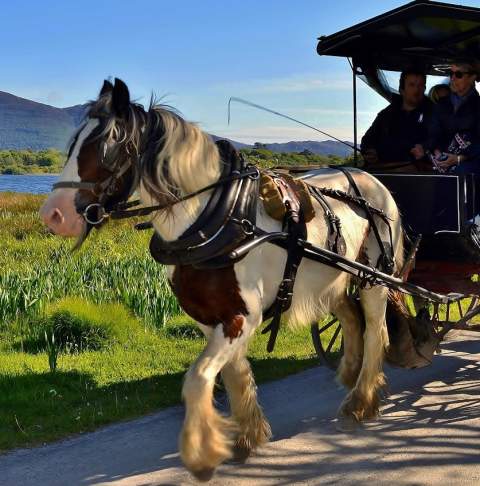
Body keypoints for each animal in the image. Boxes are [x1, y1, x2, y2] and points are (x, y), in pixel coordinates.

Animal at [39, 78, 404, 480]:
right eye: (73, 144)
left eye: (106, 148)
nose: (53, 215)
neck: (214, 218)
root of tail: (373, 180)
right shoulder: (209, 317)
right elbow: (233, 373)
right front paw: (248, 434)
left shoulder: (243, 316)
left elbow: (198, 379)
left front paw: (202, 454)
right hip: (332, 280)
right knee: (352, 320)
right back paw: (350, 375)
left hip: (375, 278)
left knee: (375, 331)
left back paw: (361, 399)